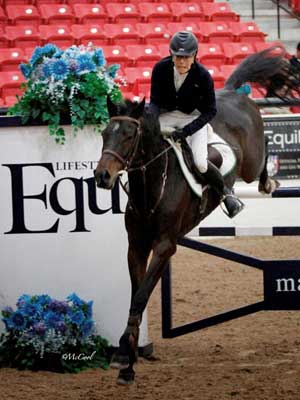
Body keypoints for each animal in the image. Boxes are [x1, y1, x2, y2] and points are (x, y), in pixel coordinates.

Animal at [94, 47, 286, 384]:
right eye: (105, 133)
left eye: (129, 135)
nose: (102, 176)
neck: (152, 188)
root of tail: (230, 91)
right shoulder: (136, 247)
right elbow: (136, 296)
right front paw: (126, 358)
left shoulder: (164, 246)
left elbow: (141, 296)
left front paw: (125, 355)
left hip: (250, 162)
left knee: (261, 156)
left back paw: (267, 183)